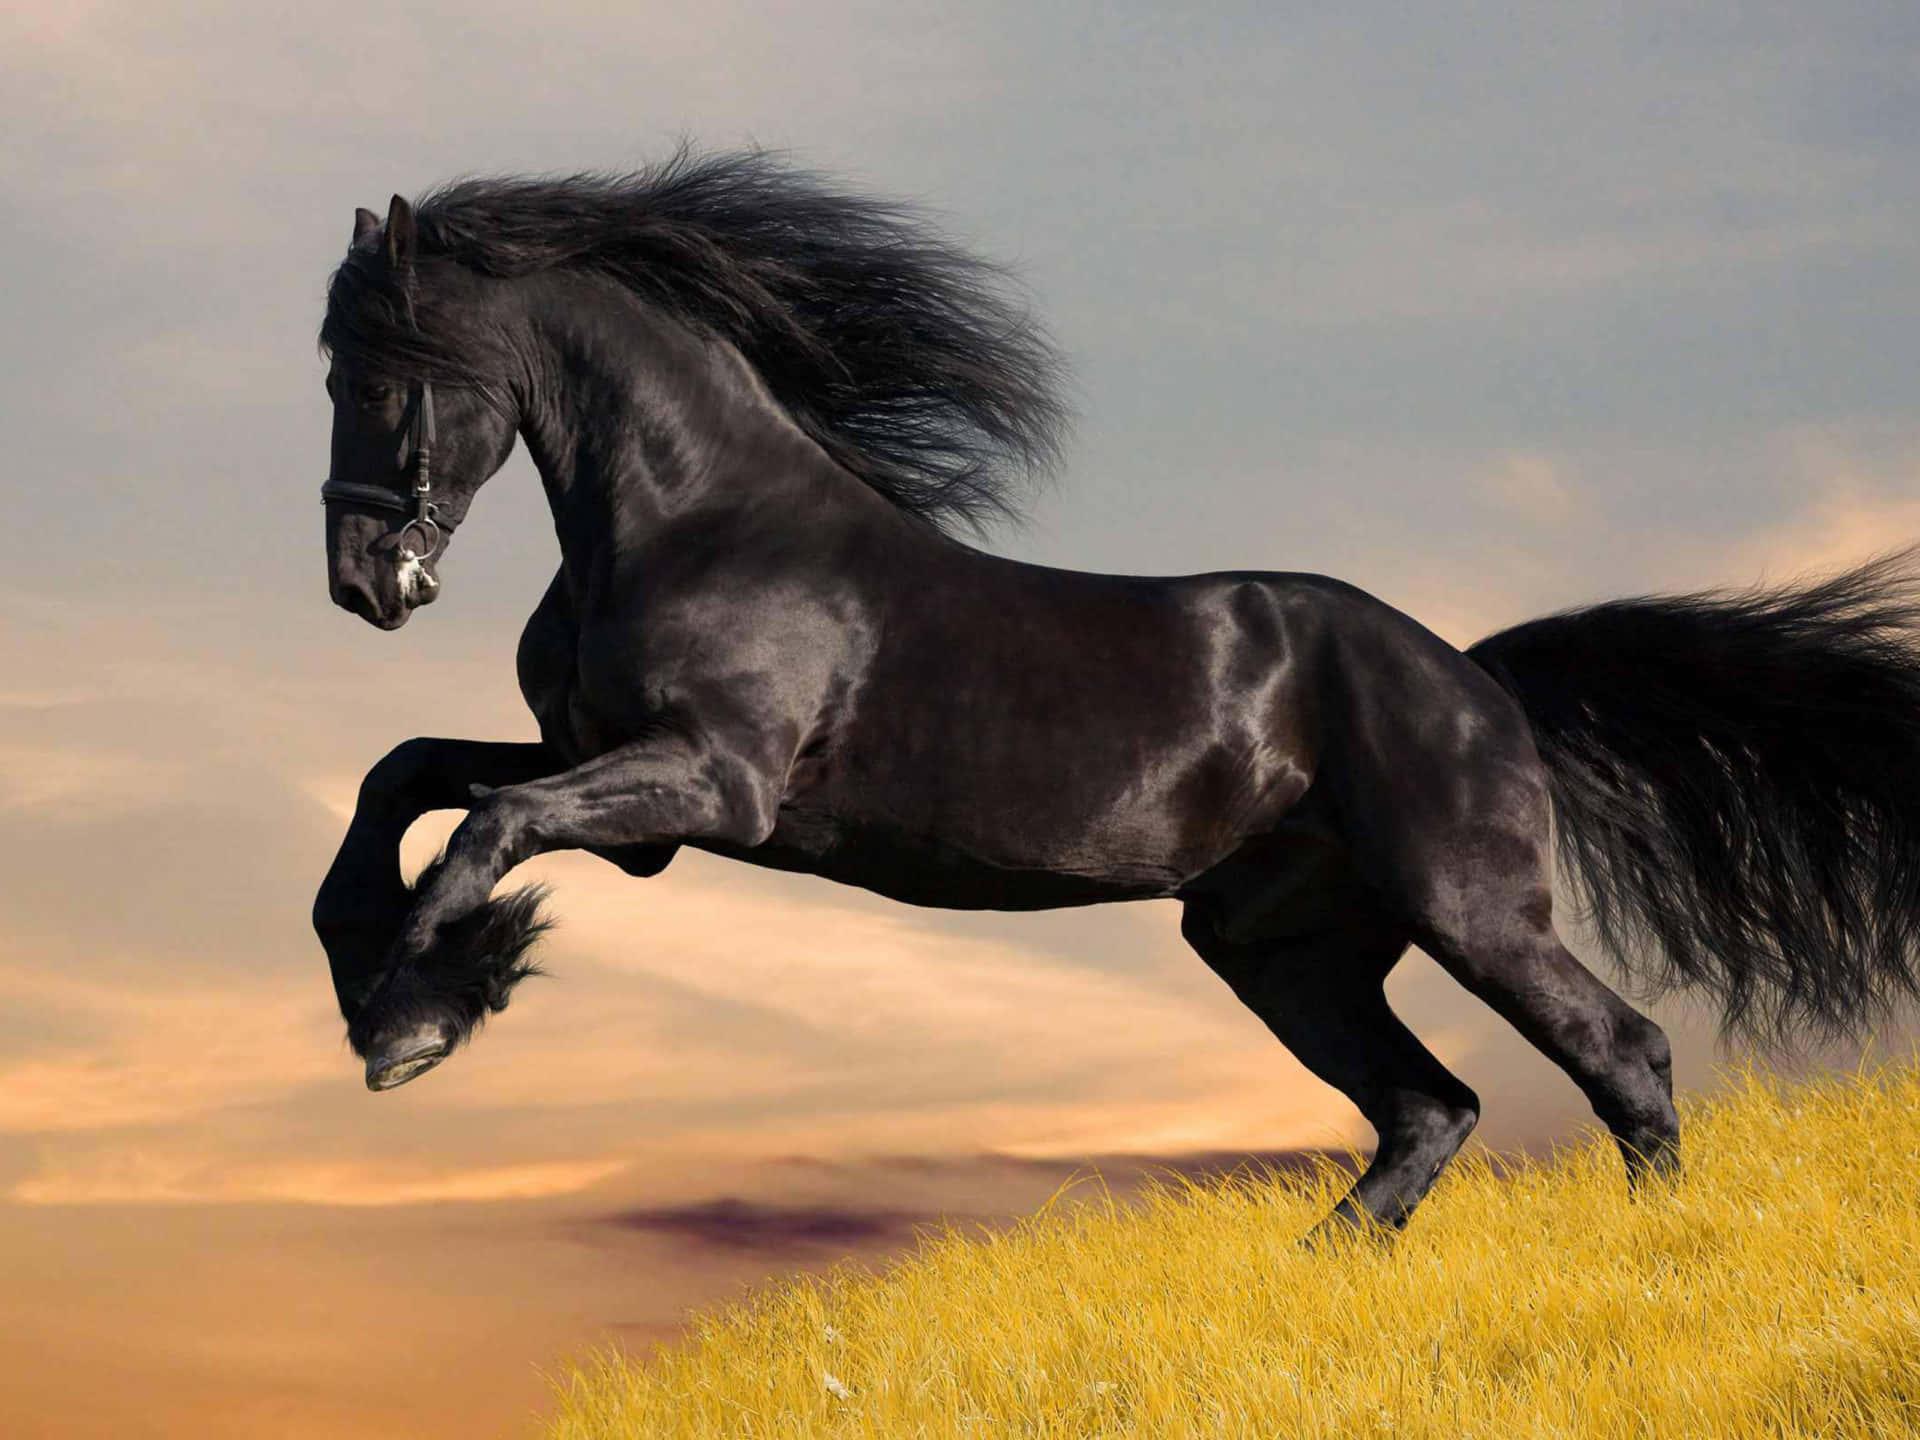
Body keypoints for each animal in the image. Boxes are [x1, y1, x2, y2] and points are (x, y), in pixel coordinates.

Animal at [314, 149, 1920, 1238]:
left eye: (379, 376)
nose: (360, 583)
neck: (702, 518)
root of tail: (1477, 678)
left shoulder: (713, 784)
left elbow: (485, 826)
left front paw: (414, 1023)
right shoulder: (622, 787)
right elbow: (405, 779)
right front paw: (386, 988)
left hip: (1471, 908)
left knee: (1621, 1057)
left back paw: (1659, 1254)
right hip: (1282, 947)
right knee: (1429, 1109)